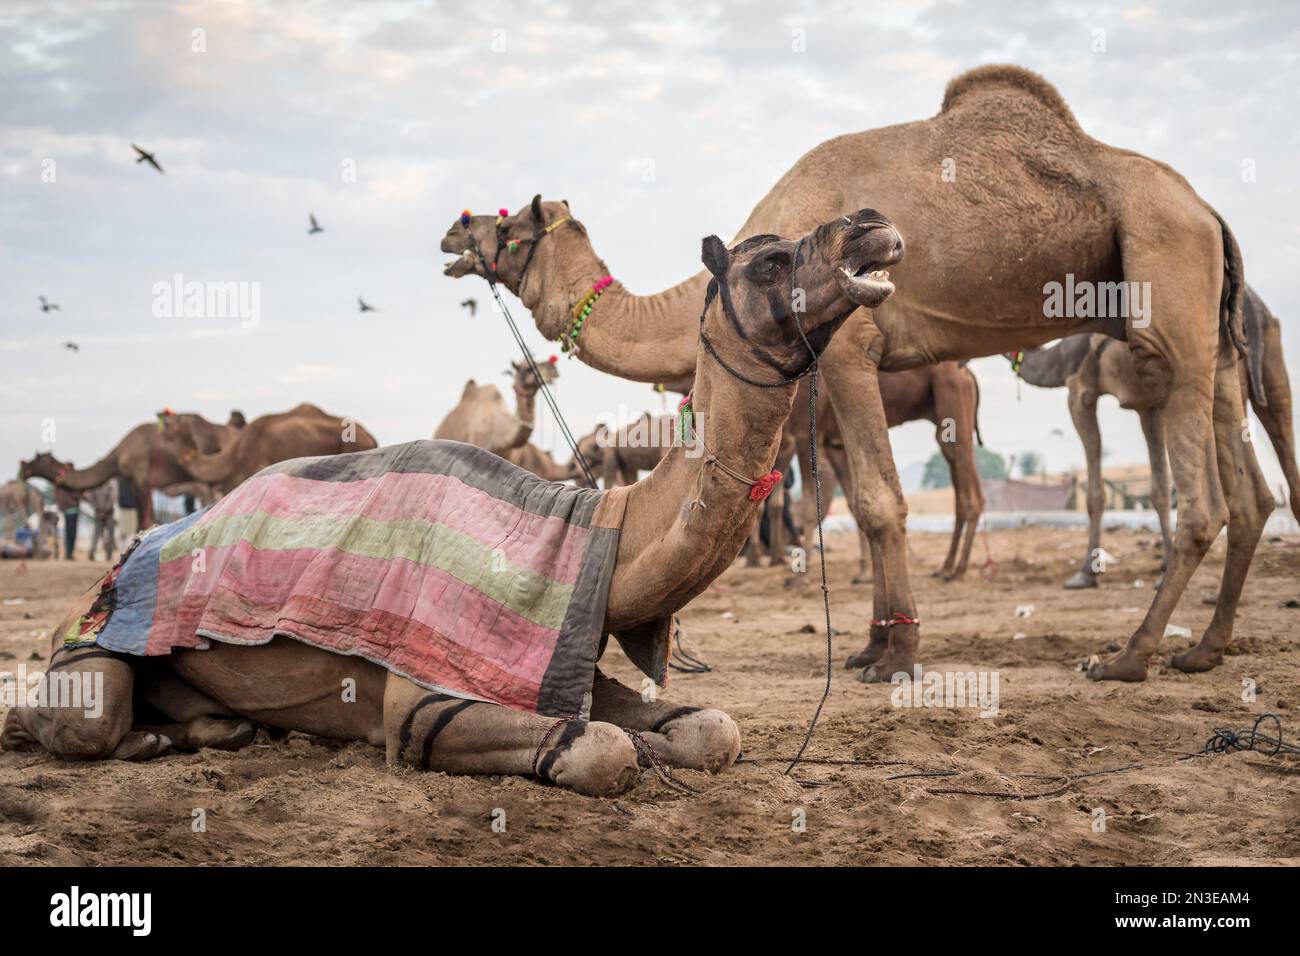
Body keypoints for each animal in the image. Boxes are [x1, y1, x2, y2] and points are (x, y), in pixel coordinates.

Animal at [18, 411, 243, 528]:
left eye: (35, 460)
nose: (22, 470)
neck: (118, 456)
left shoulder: (141, 479)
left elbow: (145, 519)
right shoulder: (136, 483)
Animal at [1016, 285, 1300, 589]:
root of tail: (1253, 309)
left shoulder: (1080, 391)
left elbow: (1096, 492)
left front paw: (1086, 573)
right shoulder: (1147, 407)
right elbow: (1160, 487)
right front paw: (1164, 565)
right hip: (1270, 363)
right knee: (1282, 436)